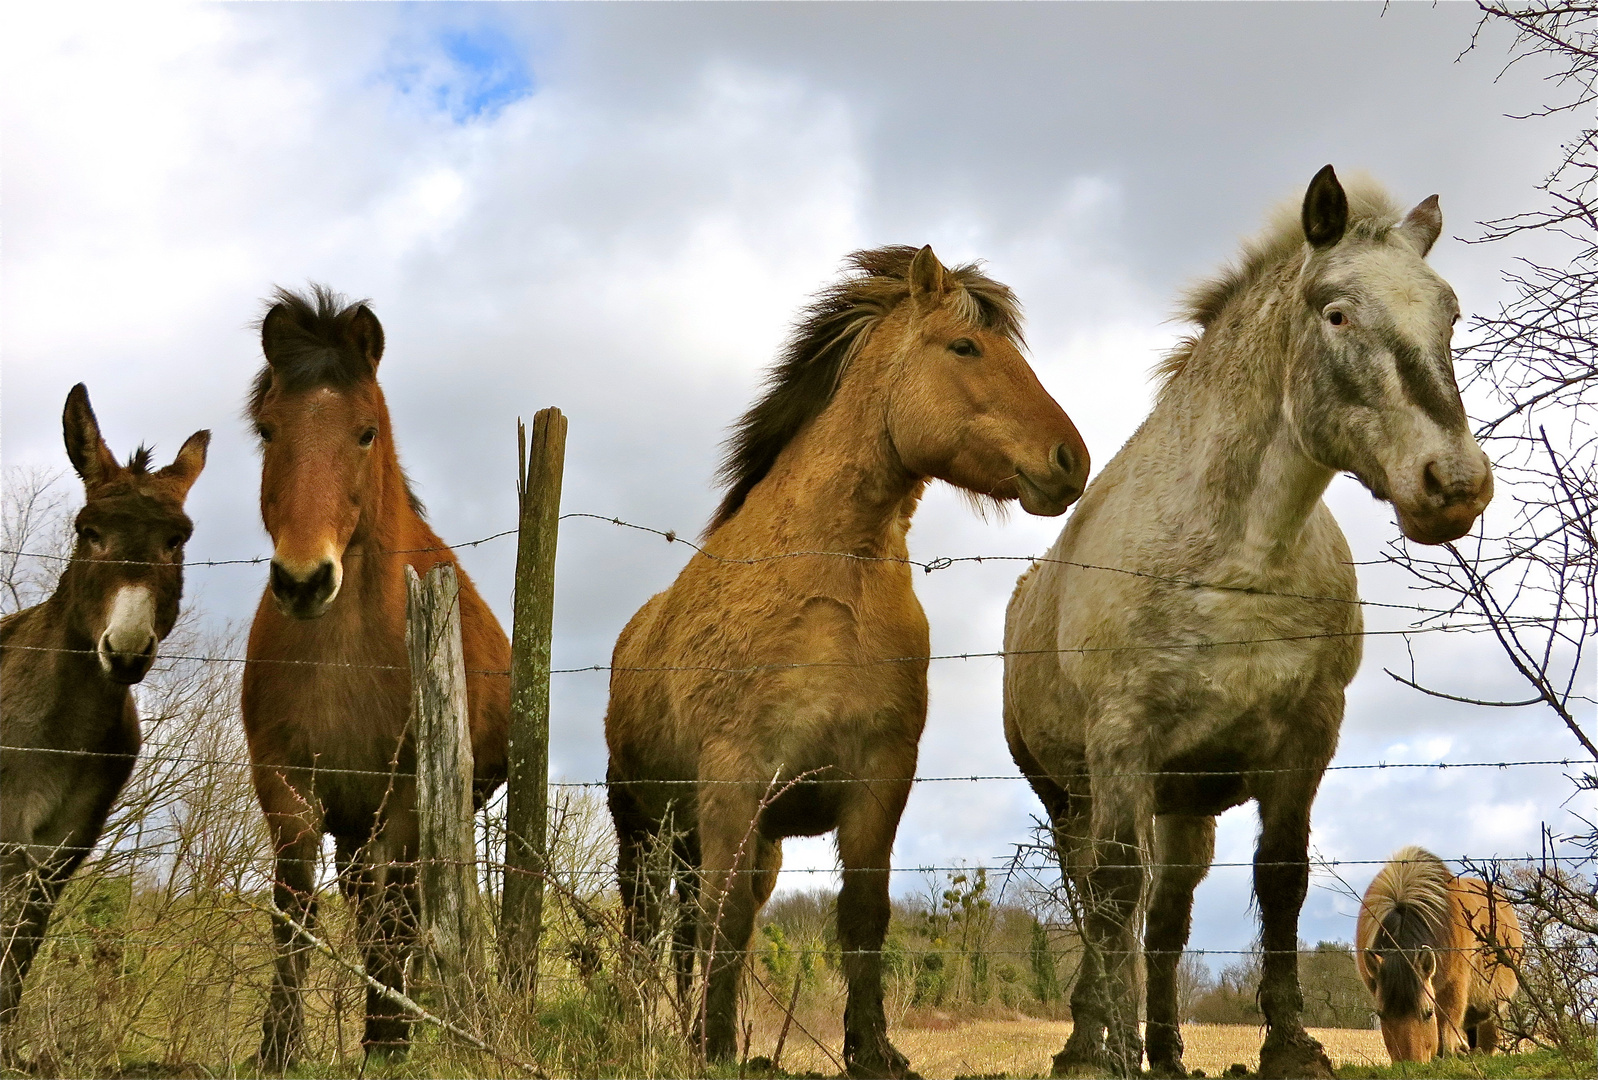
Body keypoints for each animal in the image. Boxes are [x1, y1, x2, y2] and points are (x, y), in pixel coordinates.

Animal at [0, 383, 209, 1060]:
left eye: (176, 540)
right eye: (88, 532)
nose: (126, 650)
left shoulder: (58, 855)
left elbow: (16, 961)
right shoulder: (6, 839)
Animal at [241, 289, 511, 1073]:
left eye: (365, 433)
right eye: (268, 430)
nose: (304, 580)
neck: (347, 659)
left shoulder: (405, 801)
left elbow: (398, 923)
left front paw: (388, 1042)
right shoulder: (289, 789)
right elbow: (294, 915)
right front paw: (278, 1048)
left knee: (402, 913)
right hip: (354, 826)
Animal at [604, 246, 1093, 1080]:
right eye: (965, 348)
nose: (1072, 460)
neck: (830, 592)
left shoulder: (878, 781)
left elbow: (861, 917)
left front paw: (871, 1050)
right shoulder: (733, 782)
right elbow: (725, 923)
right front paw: (714, 1049)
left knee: (686, 929)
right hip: (642, 829)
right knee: (649, 927)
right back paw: (650, 1028)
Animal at [1003, 164, 1489, 1073]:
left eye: (1449, 313)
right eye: (1337, 313)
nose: (1455, 482)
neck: (1240, 568)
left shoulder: (1305, 742)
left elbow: (1281, 880)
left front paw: (1289, 1044)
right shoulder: (1121, 744)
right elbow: (1112, 895)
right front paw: (1102, 1051)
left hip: (1183, 808)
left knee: (1165, 920)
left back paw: (1163, 1050)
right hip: (1071, 799)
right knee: (1099, 901)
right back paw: (1091, 1039)